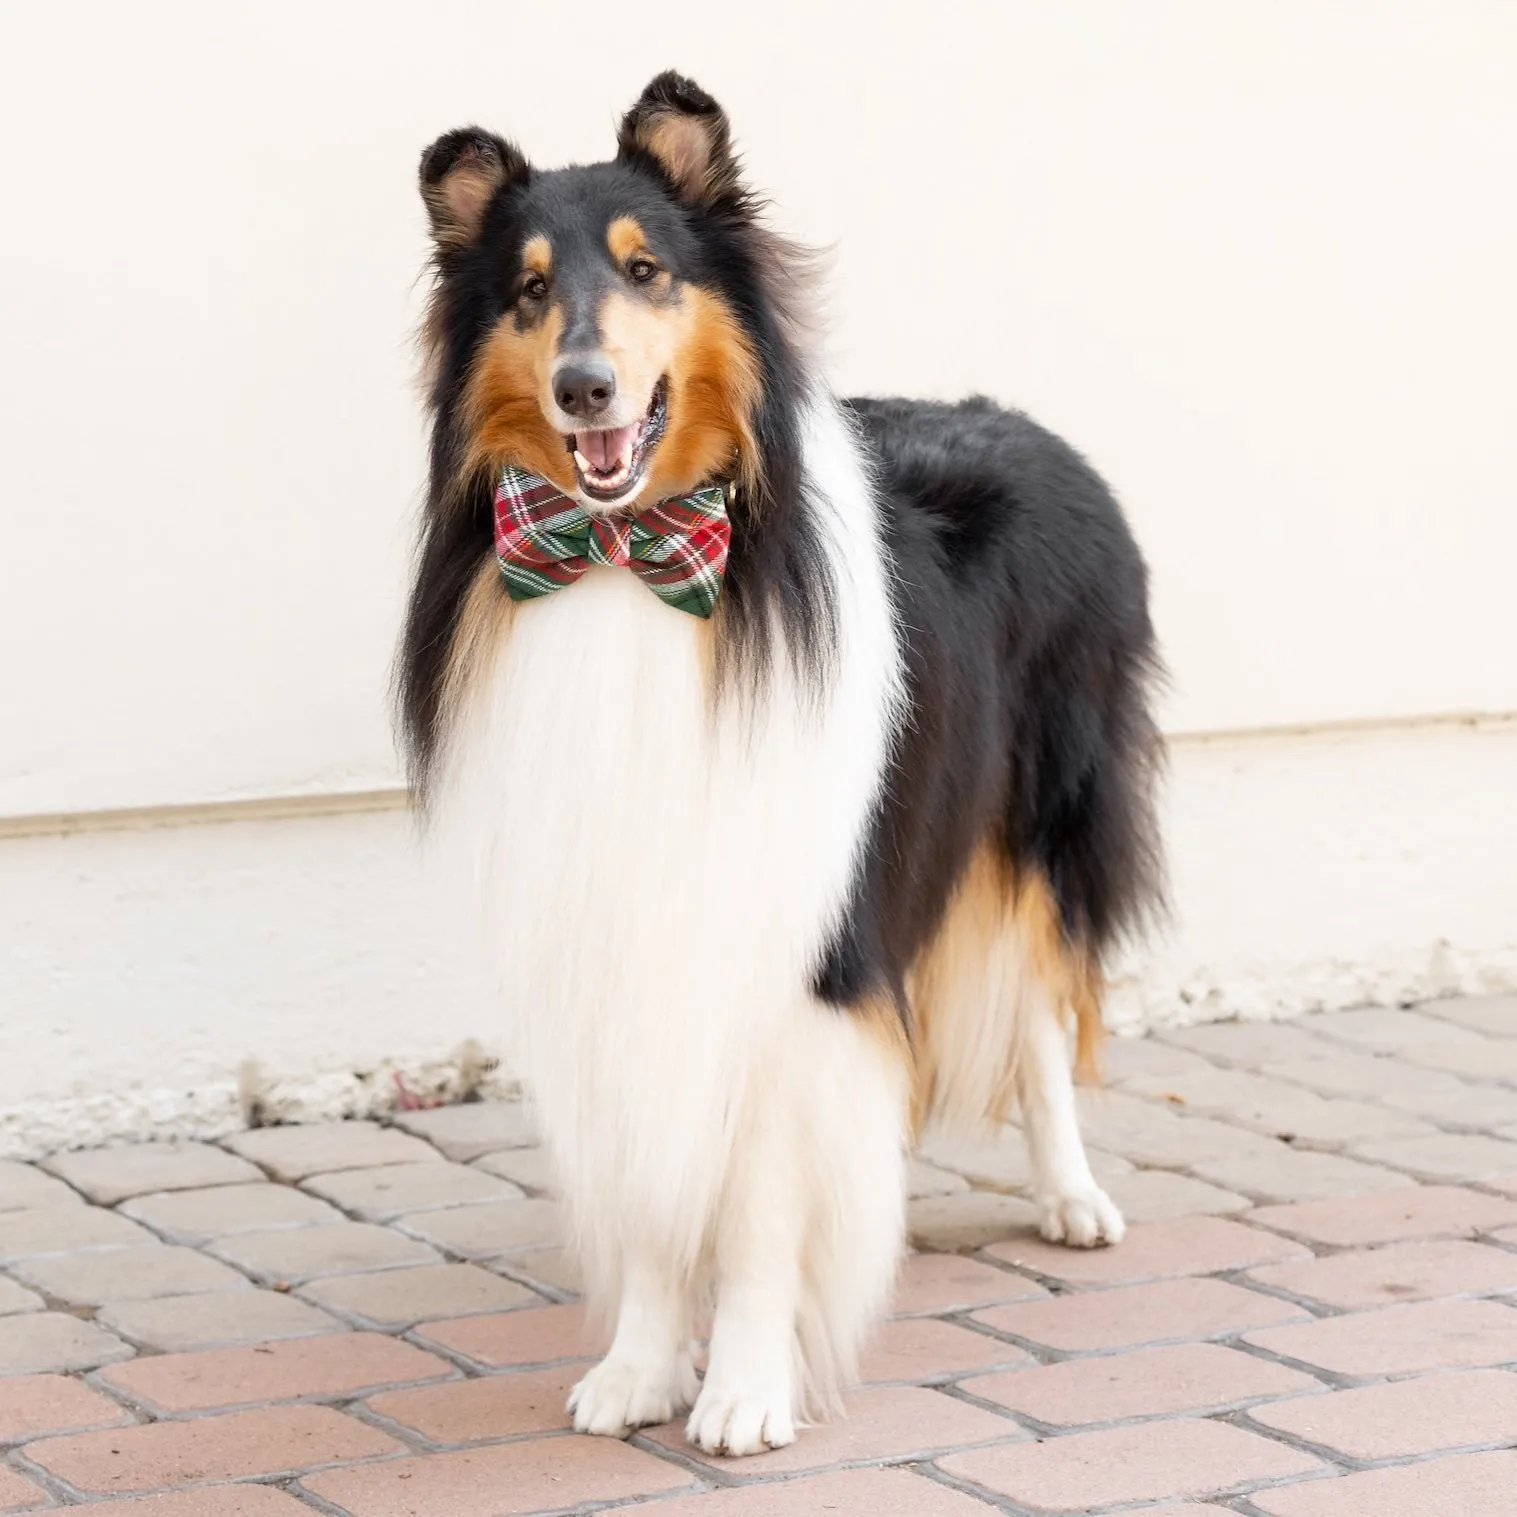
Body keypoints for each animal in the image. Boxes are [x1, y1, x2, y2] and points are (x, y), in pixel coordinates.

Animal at [400, 73, 1158, 1456]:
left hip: (1031, 827)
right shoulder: (616, 945)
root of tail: (1014, 415)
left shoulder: (788, 950)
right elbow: (653, 1184)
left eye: (646, 269)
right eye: (527, 290)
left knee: (1035, 1013)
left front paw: (745, 1390)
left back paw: (1071, 1195)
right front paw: (640, 1367)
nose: (585, 389)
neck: (629, 569)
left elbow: (759, 1208)